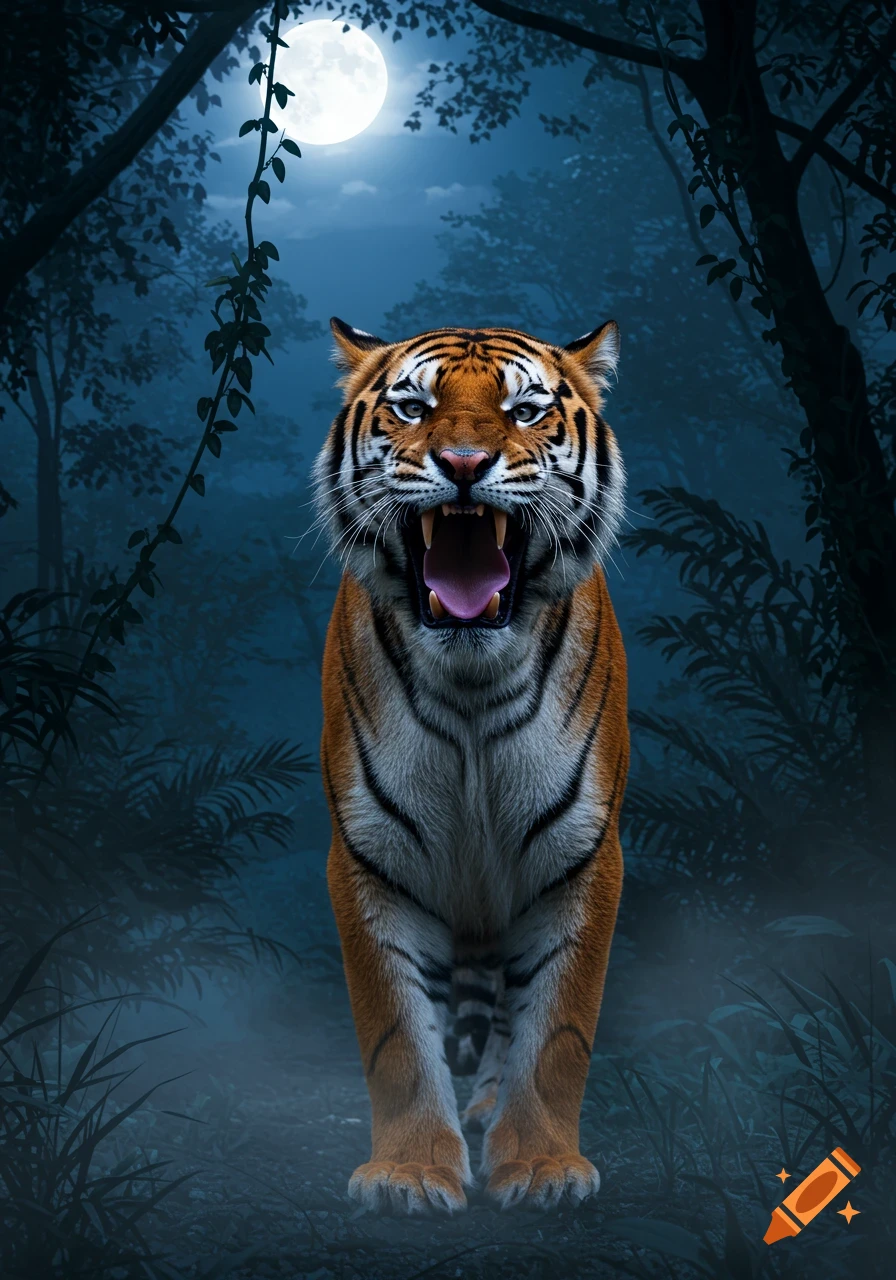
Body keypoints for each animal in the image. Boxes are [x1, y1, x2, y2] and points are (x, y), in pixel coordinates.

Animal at [314, 316, 629, 1214]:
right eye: (413, 407)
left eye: (524, 410)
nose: (461, 463)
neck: (471, 685)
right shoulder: (371, 858)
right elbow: (394, 1033)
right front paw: (410, 1173)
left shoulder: (581, 856)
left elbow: (556, 1030)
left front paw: (544, 1166)